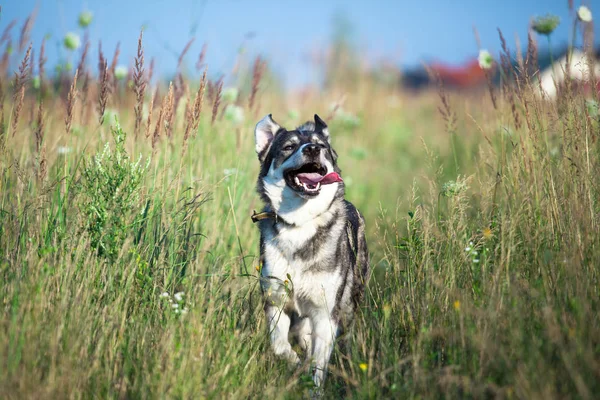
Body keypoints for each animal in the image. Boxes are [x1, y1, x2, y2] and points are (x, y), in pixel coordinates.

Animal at [250, 113, 370, 388]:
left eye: (321, 146)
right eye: (289, 146)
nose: (313, 149)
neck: (300, 223)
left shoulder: (326, 313)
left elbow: (318, 363)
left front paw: (313, 386)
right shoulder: (276, 301)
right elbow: (280, 346)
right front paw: (295, 363)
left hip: (349, 303)